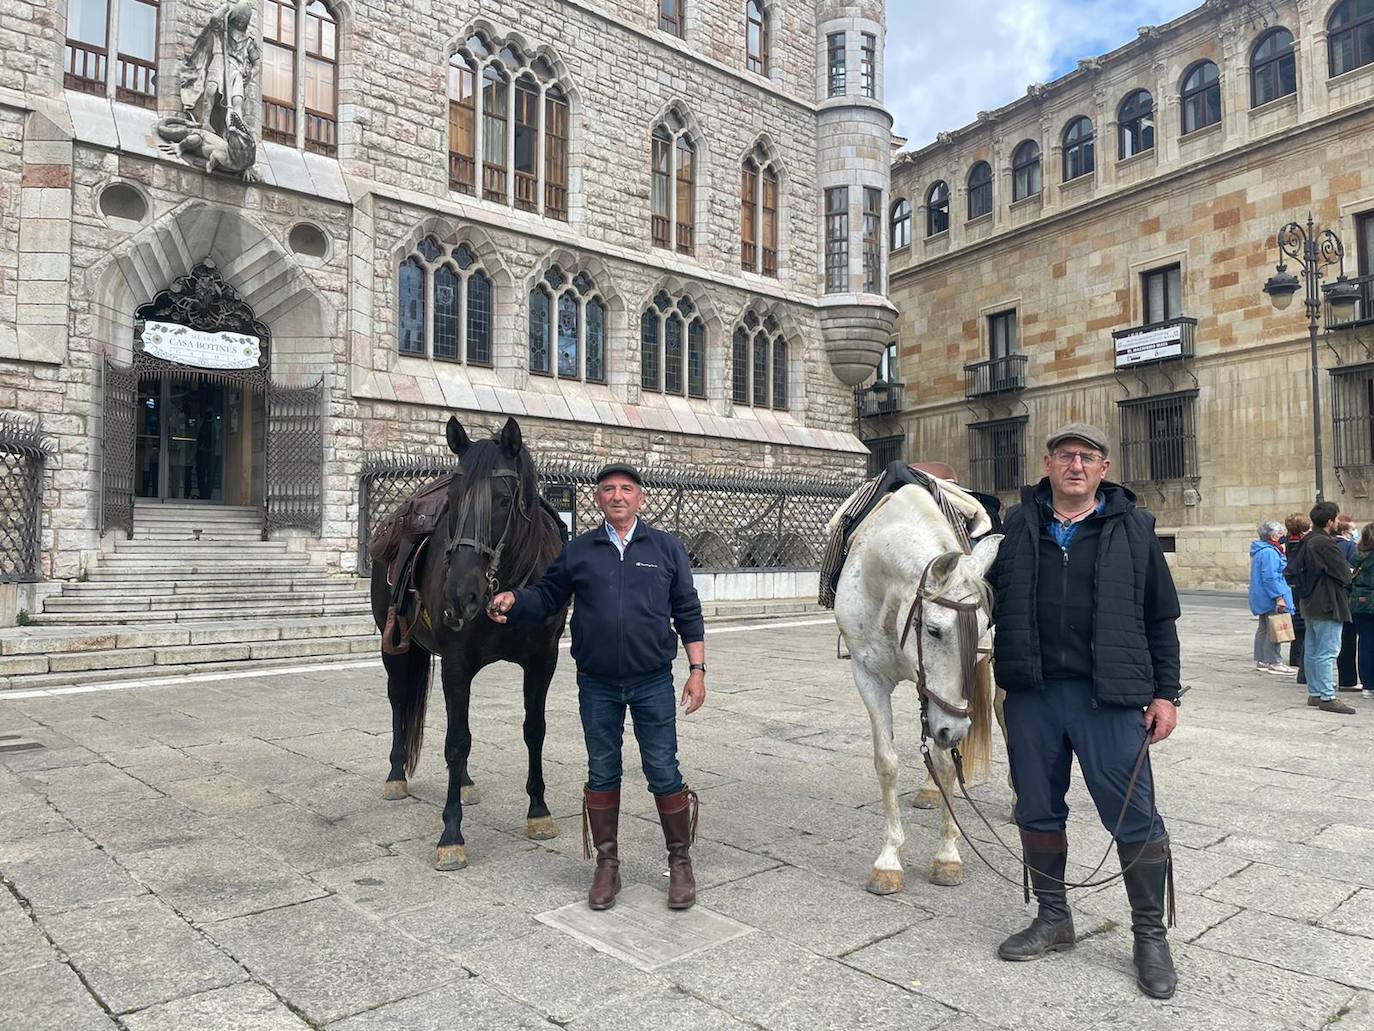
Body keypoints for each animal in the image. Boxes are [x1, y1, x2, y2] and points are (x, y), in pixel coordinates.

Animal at [368, 415, 566, 868]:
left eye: (504, 500)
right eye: (454, 500)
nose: (461, 594)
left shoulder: (543, 660)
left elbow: (534, 729)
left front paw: (539, 811)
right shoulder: (457, 661)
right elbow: (456, 742)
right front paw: (451, 834)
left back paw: (466, 782)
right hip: (395, 647)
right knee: (399, 699)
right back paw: (396, 774)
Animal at [824, 483, 1000, 896]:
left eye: (982, 628)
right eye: (934, 630)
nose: (957, 729)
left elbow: (946, 763)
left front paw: (948, 856)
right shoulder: (868, 677)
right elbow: (887, 763)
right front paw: (889, 859)